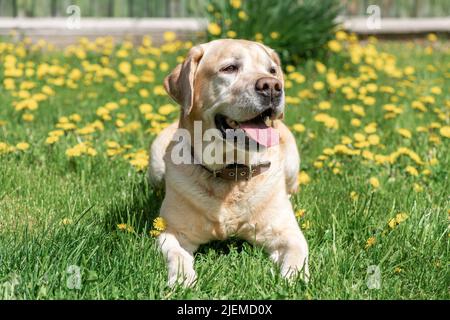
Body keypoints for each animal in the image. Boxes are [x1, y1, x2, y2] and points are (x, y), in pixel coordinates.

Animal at [149, 38, 308, 286]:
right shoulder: (173, 232)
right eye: (229, 68)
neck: (230, 171)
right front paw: (183, 278)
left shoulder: (286, 232)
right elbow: (176, 253)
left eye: (272, 71)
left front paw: (292, 279)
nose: (272, 86)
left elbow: (297, 253)